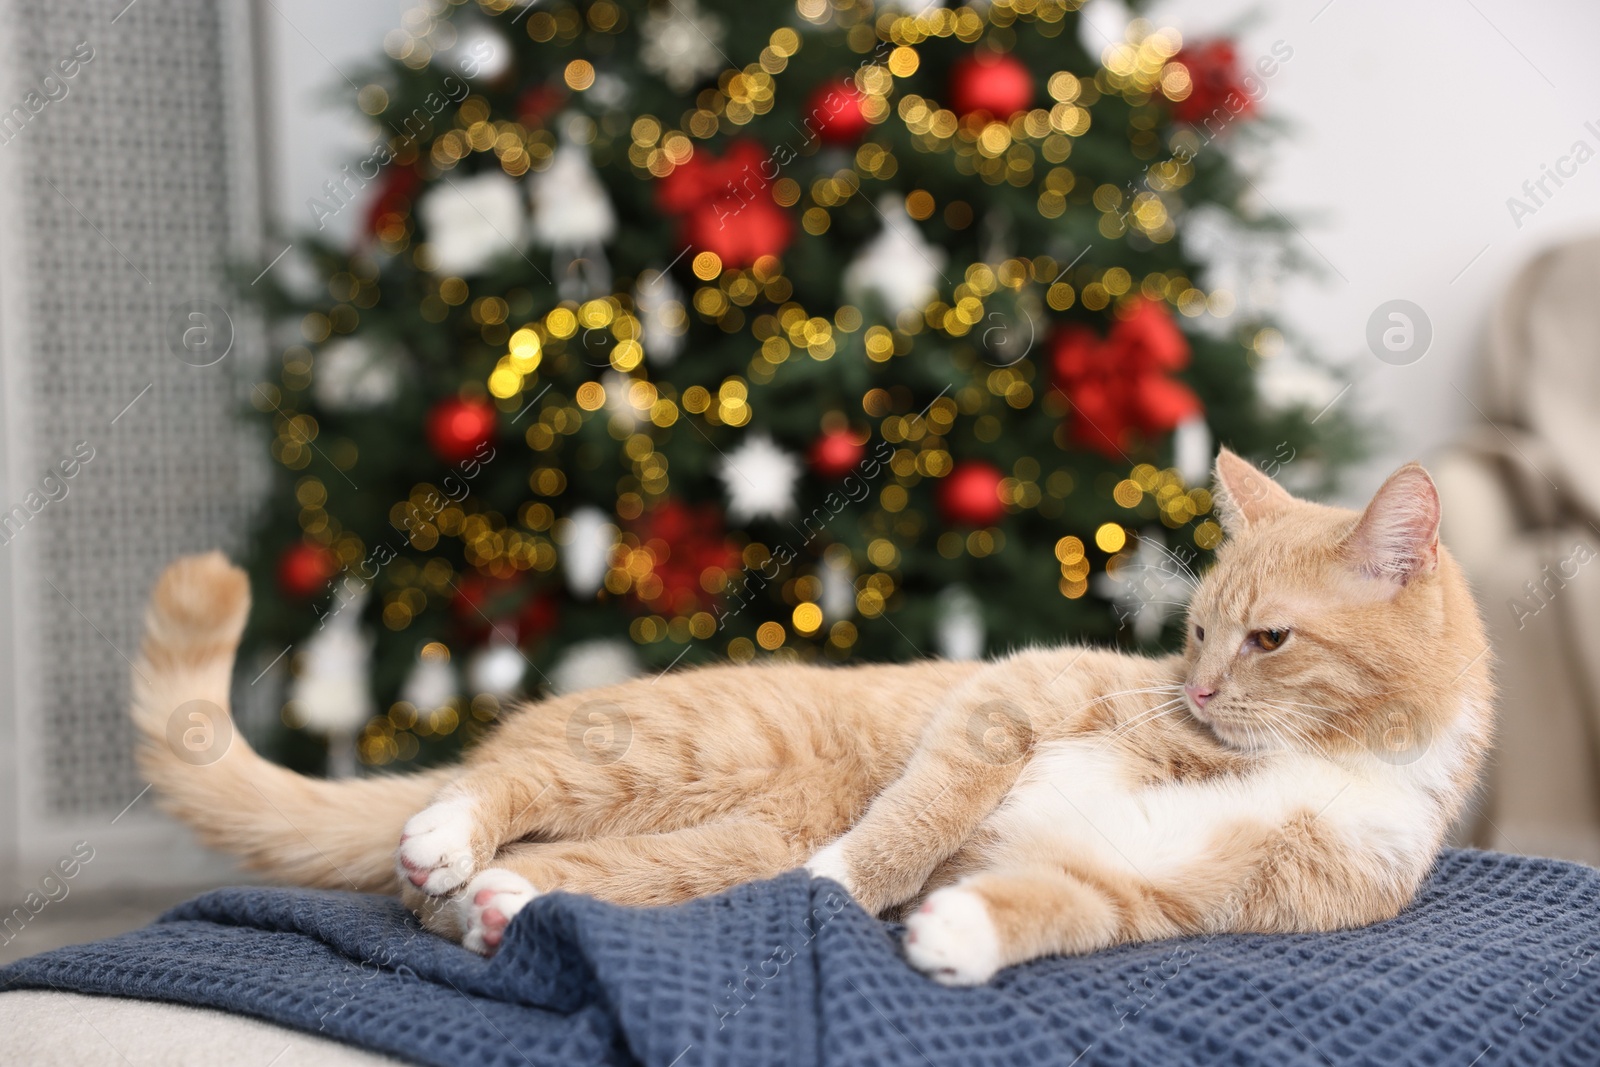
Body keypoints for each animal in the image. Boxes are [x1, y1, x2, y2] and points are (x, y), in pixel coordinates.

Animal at [131, 451, 1491, 985]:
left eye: (1266, 641)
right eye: (1197, 631)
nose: (1193, 690)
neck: (1311, 760)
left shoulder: (1166, 887)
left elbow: (1055, 904)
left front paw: (958, 933)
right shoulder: (1007, 701)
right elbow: (913, 819)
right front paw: (850, 887)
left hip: (715, 840)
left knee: (552, 881)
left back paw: (502, 904)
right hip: (683, 755)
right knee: (484, 802)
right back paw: (453, 836)